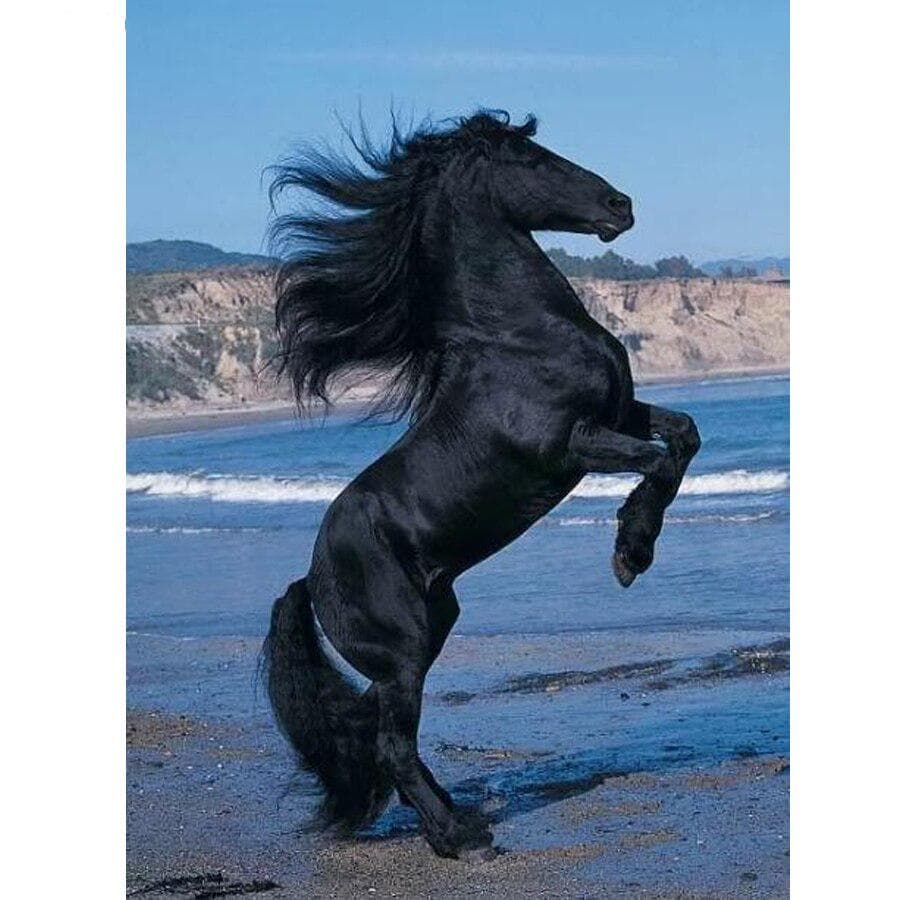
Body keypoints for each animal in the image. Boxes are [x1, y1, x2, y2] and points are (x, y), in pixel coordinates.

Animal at [262, 110, 701, 859]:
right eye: (530, 159)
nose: (621, 206)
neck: (517, 335)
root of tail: (311, 580)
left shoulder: (619, 414)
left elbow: (685, 437)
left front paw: (633, 550)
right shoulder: (573, 444)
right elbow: (659, 462)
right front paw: (629, 555)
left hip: (427, 634)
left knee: (382, 738)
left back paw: (460, 818)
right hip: (404, 650)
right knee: (392, 745)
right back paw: (457, 838)